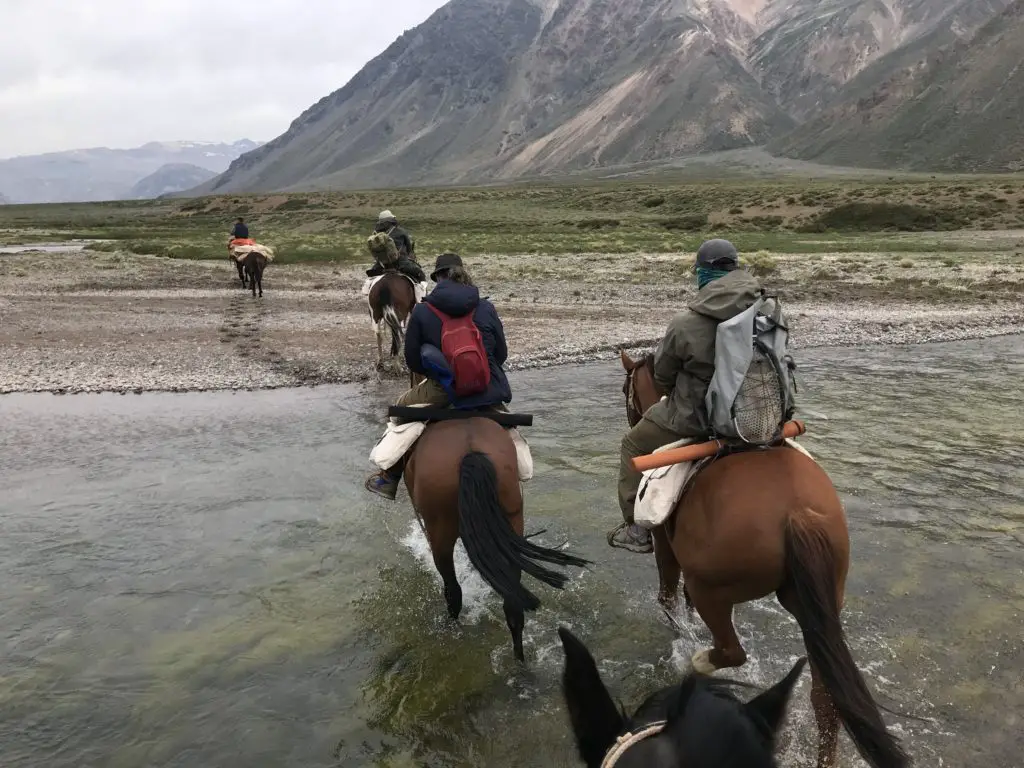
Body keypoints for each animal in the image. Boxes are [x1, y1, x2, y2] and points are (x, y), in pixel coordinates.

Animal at [401, 415, 593, 663]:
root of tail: (470, 451)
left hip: (439, 528)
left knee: (453, 590)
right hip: (511, 513)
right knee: (513, 604)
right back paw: (519, 659)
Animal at [614, 350, 905, 768]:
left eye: (626, 391)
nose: (633, 417)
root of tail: (797, 512)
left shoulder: (667, 549)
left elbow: (669, 600)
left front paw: (683, 641)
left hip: (715, 591)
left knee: (732, 650)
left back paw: (700, 662)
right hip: (815, 602)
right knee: (826, 699)